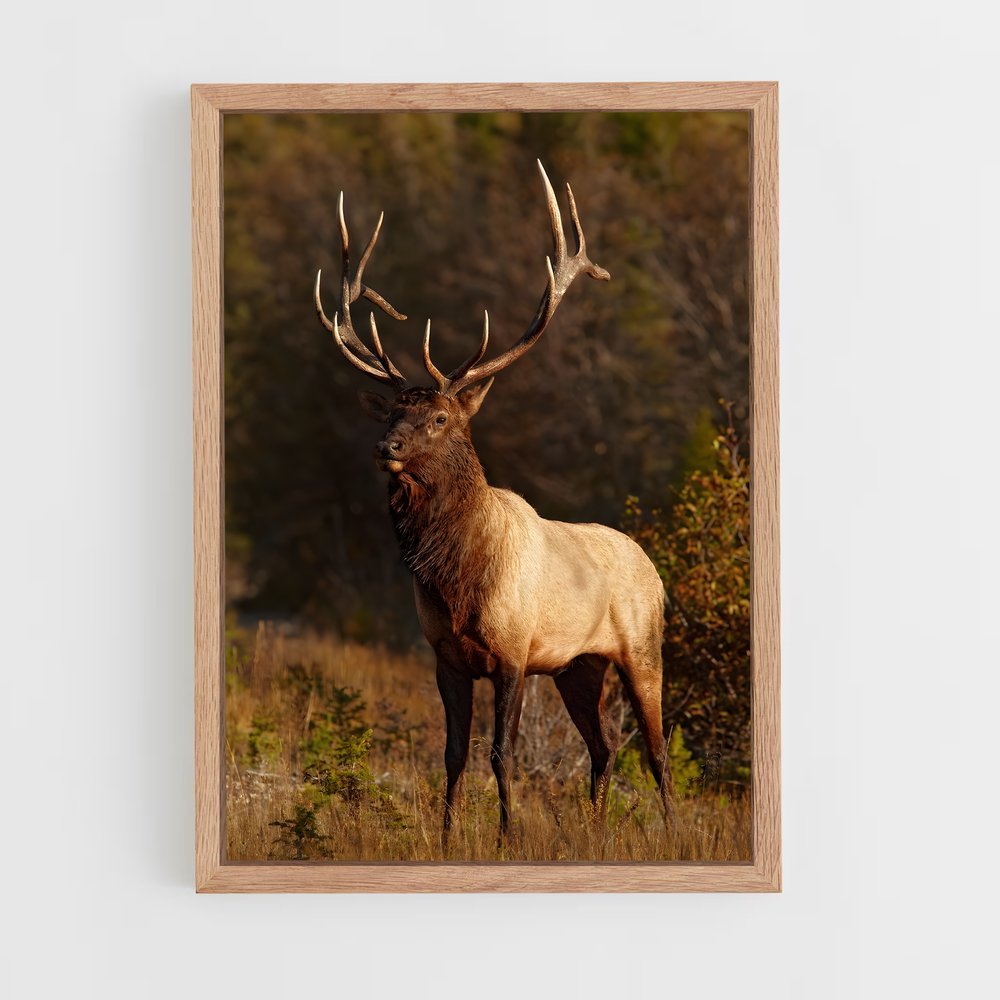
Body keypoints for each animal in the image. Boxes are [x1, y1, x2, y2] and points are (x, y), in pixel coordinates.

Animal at [314, 161, 674, 843]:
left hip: (643, 647)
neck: (457, 580)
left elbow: (501, 753)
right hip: (579, 666)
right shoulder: (446, 655)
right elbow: (453, 753)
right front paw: (448, 835)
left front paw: (509, 835)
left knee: (656, 749)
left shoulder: (513, 651)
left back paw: (670, 832)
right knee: (605, 746)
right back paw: (595, 828)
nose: (384, 446)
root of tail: (654, 568)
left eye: (440, 418)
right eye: (394, 410)